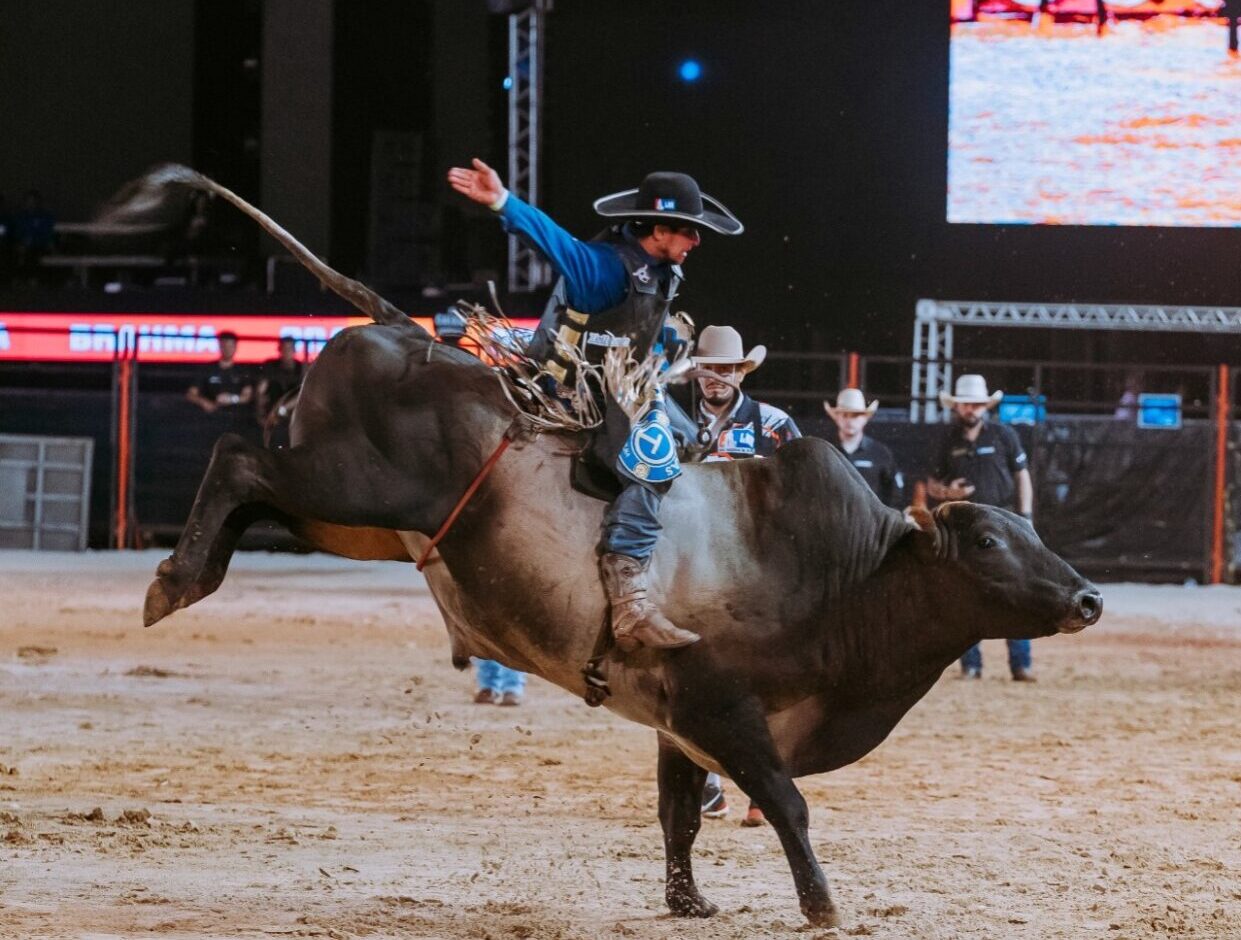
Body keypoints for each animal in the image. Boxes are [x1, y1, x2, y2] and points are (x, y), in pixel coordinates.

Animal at [138, 166, 1106, 923]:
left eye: (1028, 529)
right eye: (989, 540)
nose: (1088, 598)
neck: (841, 579)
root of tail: (404, 331)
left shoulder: (677, 723)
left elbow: (678, 811)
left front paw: (687, 899)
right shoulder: (722, 707)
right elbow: (785, 803)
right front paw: (822, 904)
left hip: (354, 521)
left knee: (251, 491)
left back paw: (190, 570)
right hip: (353, 484)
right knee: (236, 455)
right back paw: (176, 580)